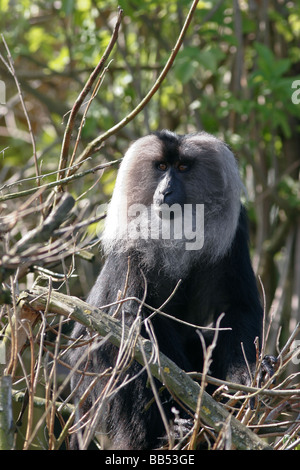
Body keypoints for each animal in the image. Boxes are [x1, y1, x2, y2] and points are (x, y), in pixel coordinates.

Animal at [67, 130, 262, 450]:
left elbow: (236, 307)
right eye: (160, 167)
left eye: (182, 168)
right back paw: (167, 432)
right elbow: (129, 321)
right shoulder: (129, 248)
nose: (165, 191)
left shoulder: (235, 232)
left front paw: (245, 381)